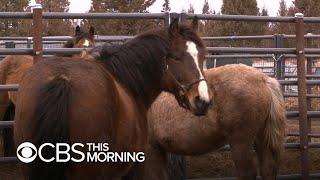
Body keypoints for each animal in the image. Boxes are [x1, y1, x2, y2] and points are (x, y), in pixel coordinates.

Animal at [146, 64, 286, 180]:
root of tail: (264, 80)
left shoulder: (152, 150)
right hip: (261, 137)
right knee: (268, 169)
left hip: (240, 142)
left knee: (248, 173)